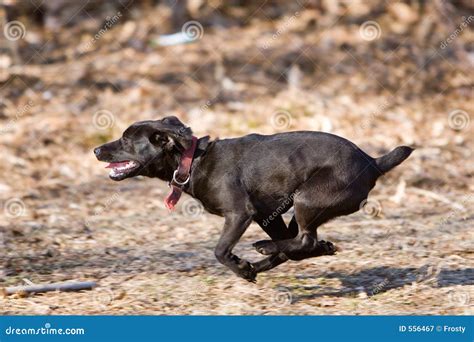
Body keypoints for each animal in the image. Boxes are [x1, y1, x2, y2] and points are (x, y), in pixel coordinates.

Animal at [93, 116, 412, 282]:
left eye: (125, 140)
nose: (96, 150)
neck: (191, 160)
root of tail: (372, 162)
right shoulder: (264, 214)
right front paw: (248, 267)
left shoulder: (239, 213)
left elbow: (220, 251)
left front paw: (240, 266)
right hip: (300, 206)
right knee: (298, 244)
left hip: (307, 198)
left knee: (304, 240)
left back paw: (263, 250)